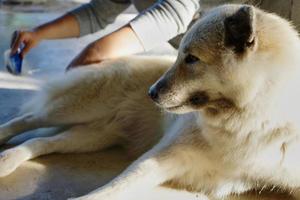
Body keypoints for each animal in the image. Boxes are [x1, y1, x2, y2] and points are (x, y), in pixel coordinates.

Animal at [0, 3, 300, 200]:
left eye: (191, 59)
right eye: (179, 56)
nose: (151, 93)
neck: (249, 121)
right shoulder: (161, 157)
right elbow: (109, 190)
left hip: (93, 135)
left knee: (42, 142)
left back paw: (9, 160)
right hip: (75, 110)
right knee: (26, 120)